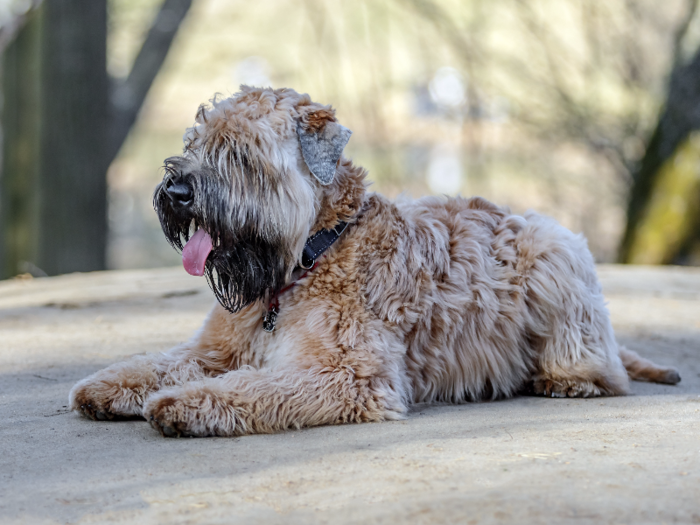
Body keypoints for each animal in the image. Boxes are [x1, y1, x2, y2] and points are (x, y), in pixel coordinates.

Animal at [68, 86, 680, 436]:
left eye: (240, 153)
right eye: (195, 141)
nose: (176, 192)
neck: (308, 257)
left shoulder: (343, 373)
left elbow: (248, 389)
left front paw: (181, 404)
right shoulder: (217, 350)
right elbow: (161, 362)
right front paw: (108, 385)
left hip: (557, 250)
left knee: (598, 364)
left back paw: (564, 379)